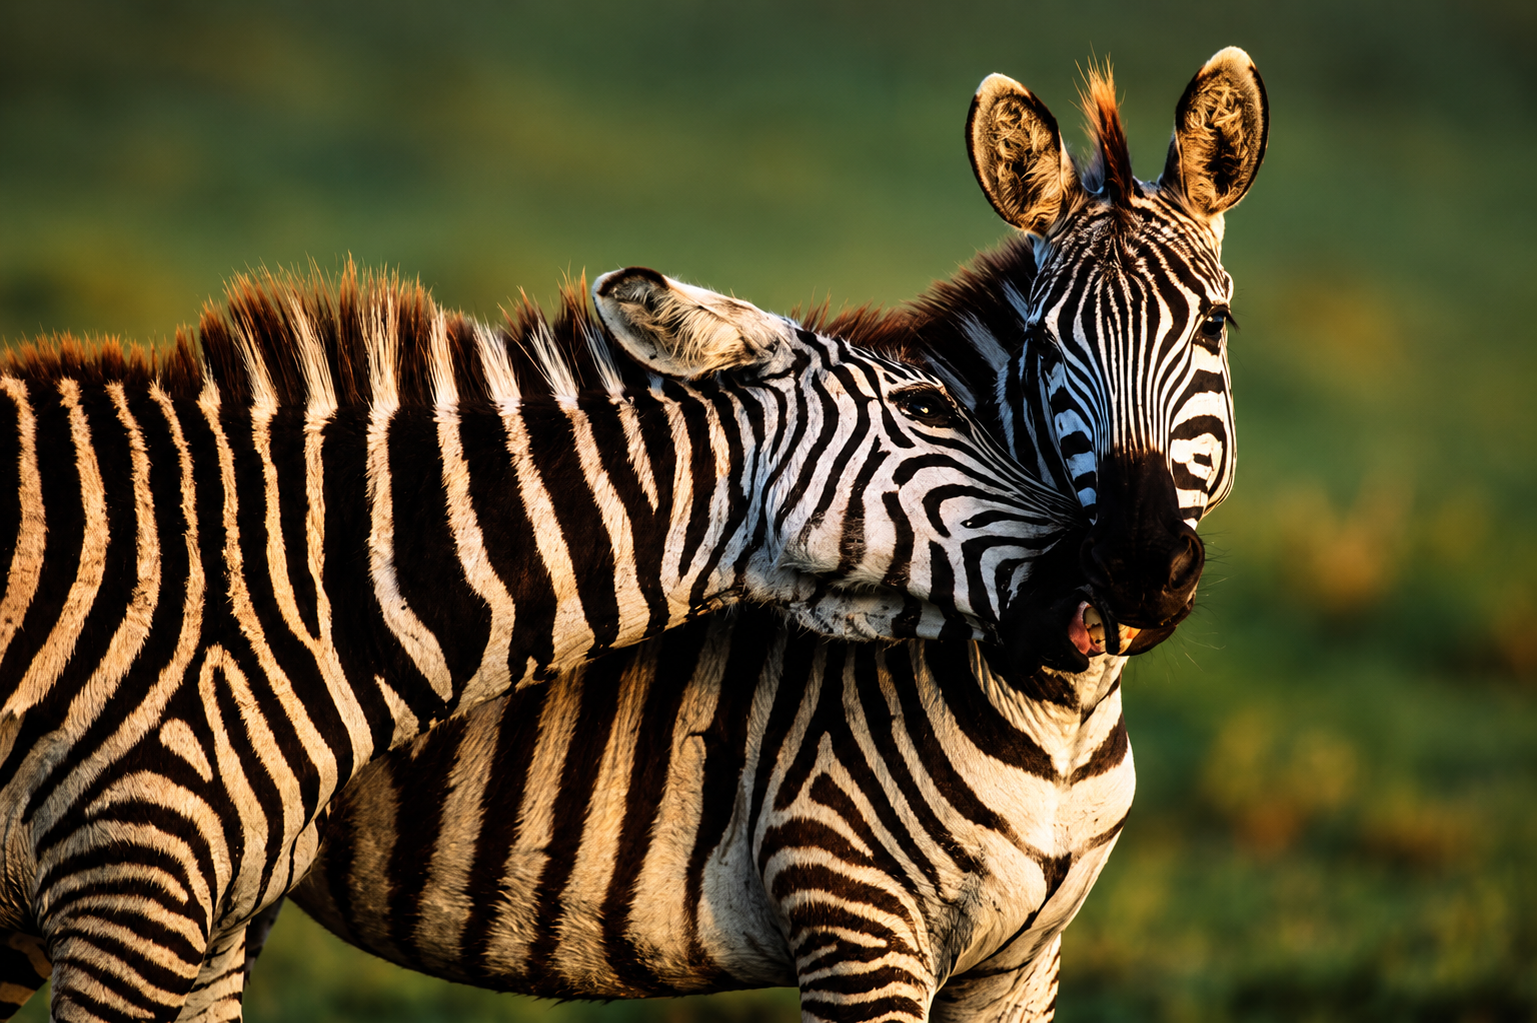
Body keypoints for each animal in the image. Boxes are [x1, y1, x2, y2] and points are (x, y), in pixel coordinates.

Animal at [271, 47, 1268, 1023]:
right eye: (1040, 343)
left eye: (1214, 325)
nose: (1136, 564)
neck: (1062, 717)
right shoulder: (854, 925)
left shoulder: (1020, 966)